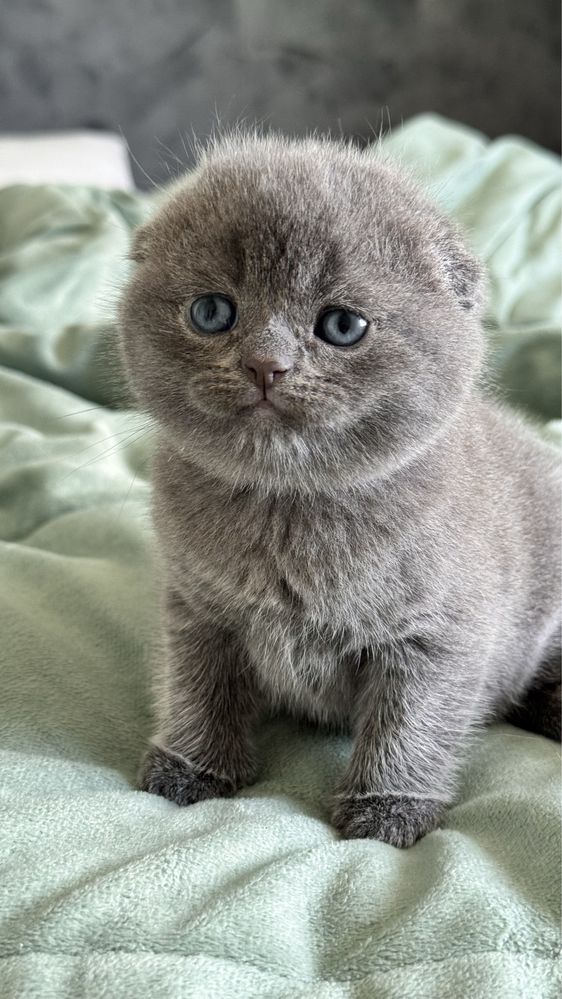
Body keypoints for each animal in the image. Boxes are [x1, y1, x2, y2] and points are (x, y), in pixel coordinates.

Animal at [119, 135, 560, 852]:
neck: (288, 508)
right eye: (212, 312)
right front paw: (189, 766)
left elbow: (412, 721)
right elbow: (196, 685)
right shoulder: (197, 605)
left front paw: (388, 808)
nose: (266, 365)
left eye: (343, 325)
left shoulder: (440, 634)